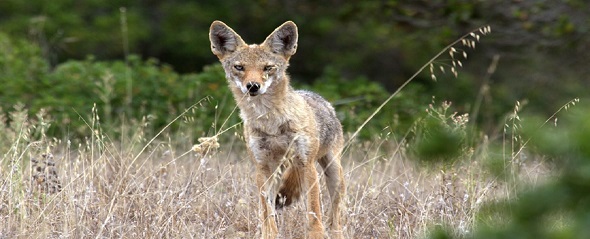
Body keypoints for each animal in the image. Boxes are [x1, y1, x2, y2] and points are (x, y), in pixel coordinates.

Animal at [210, 21, 346, 239]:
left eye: (268, 67)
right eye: (239, 67)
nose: (253, 86)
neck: (271, 122)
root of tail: (324, 101)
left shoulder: (306, 165)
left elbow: (314, 211)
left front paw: (316, 234)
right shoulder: (262, 167)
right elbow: (267, 210)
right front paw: (268, 234)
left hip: (333, 172)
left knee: (335, 217)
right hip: (279, 171)